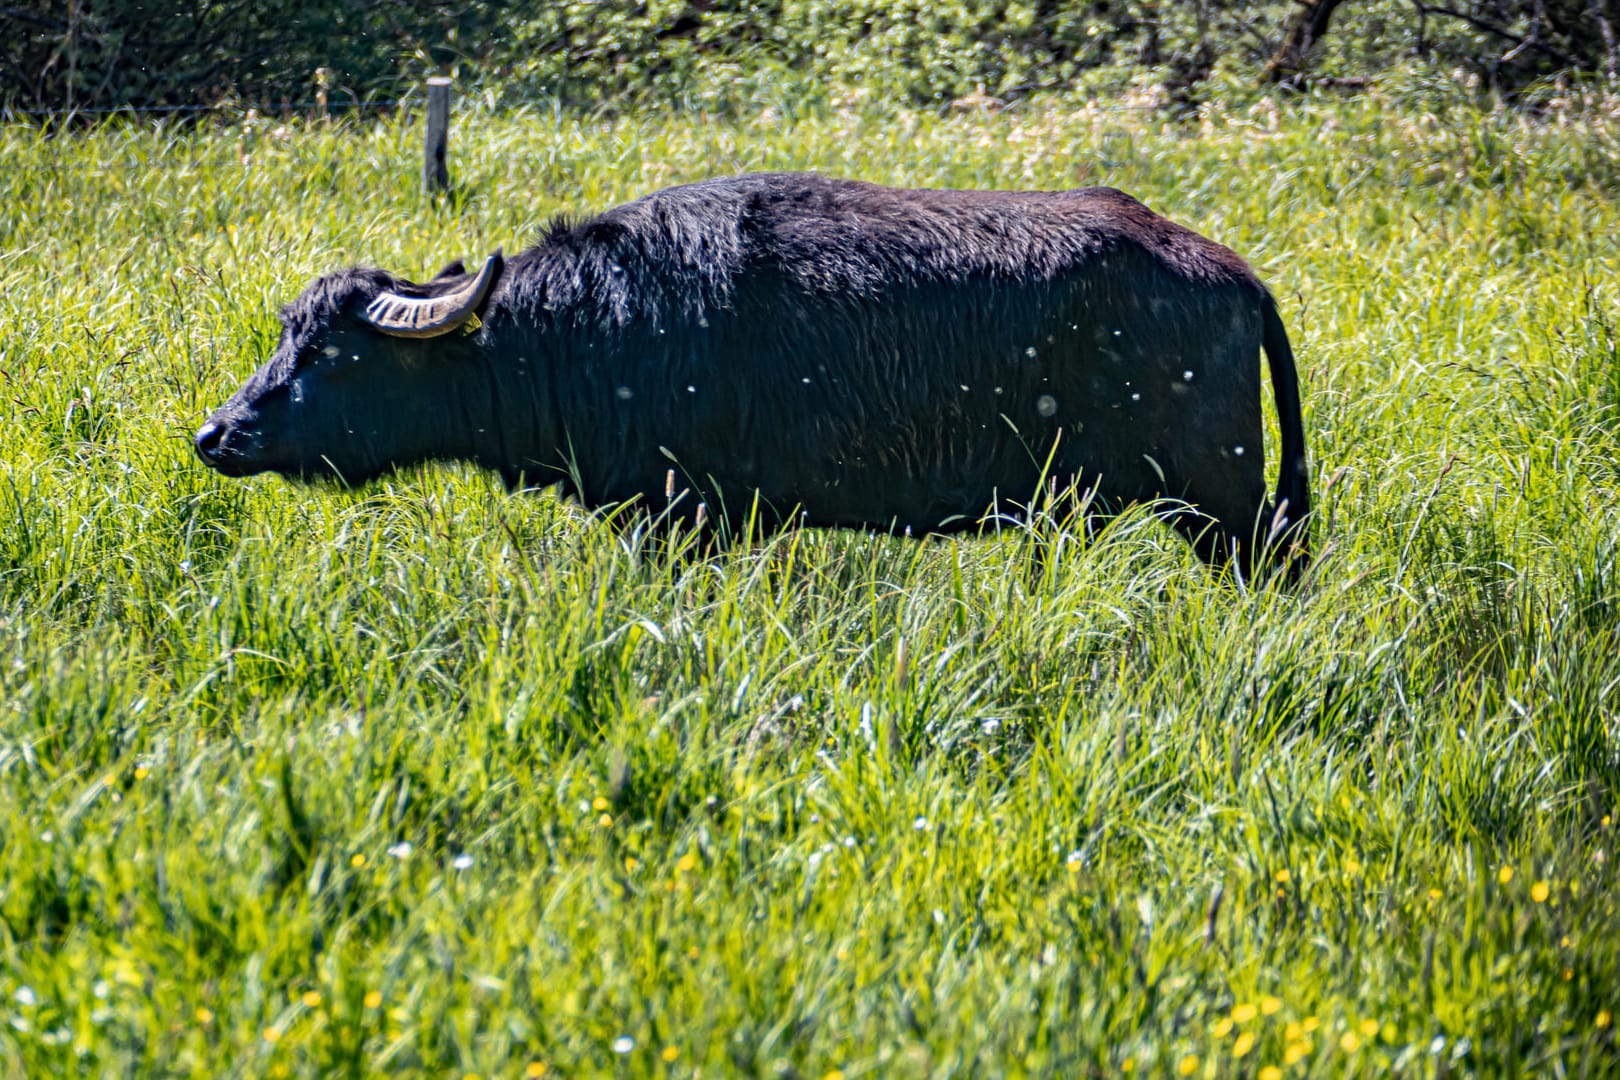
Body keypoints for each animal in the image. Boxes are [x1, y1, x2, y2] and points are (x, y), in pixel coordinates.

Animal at [199, 170, 1315, 573]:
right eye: (286, 334)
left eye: (331, 352)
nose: (218, 434)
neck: (597, 327)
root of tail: (1232, 272)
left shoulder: (691, 520)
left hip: (1220, 503)